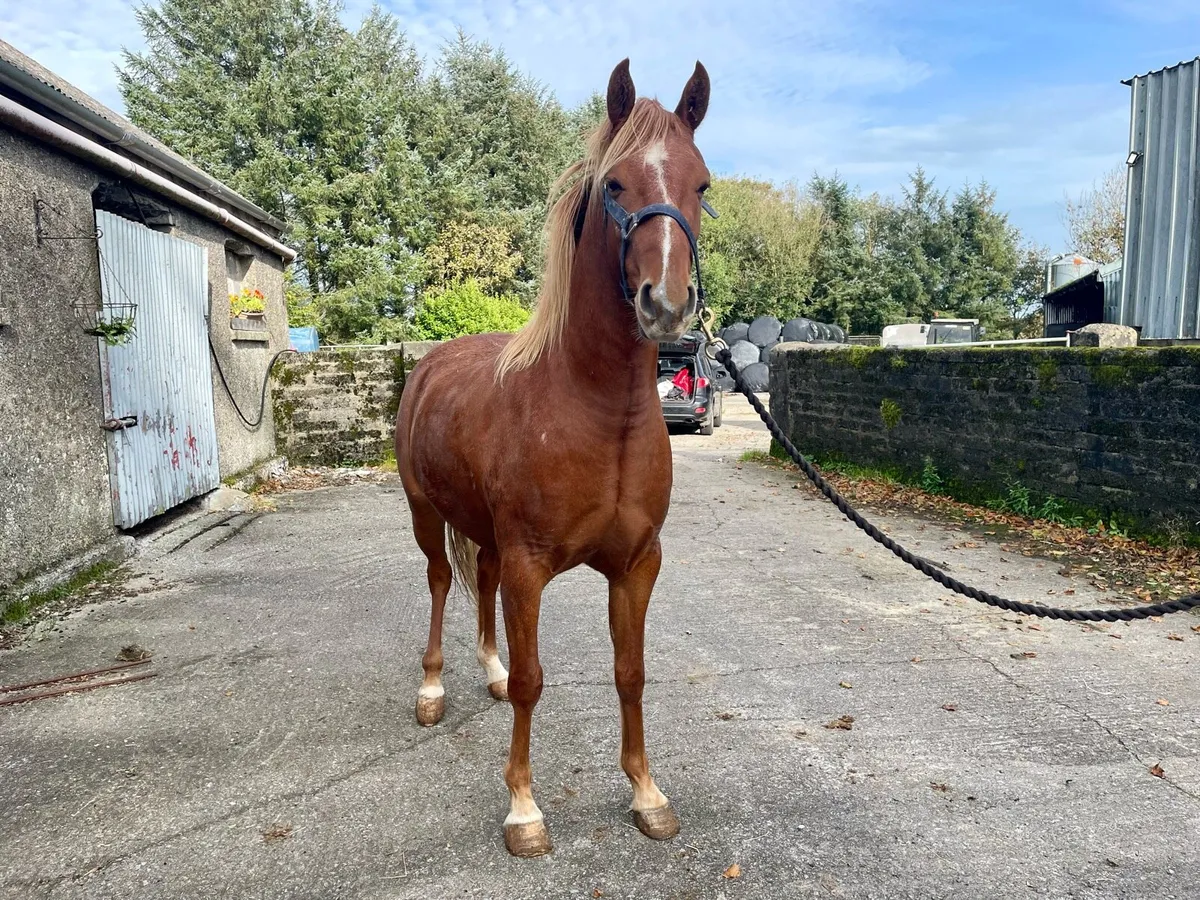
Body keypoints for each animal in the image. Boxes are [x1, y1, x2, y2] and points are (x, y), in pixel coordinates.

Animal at [395, 58, 712, 858]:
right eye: (615, 185)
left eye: (702, 185)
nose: (665, 305)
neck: (598, 415)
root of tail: (429, 363)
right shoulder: (531, 566)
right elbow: (536, 681)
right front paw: (523, 809)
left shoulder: (636, 565)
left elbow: (630, 672)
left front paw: (647, 793)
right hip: (425, 514)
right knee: (441, 582)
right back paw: (432, 689)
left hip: (486, 535)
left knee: (478, 582)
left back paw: (488, 669)